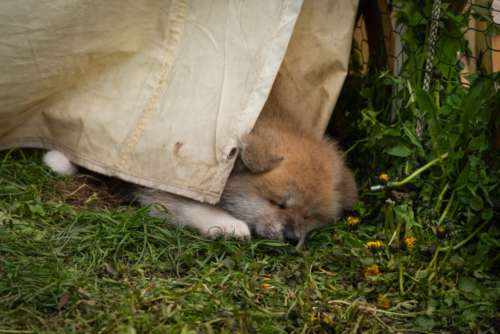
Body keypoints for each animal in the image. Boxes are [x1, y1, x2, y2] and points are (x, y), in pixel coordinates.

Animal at [43, 98, 356, 248]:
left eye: (310, 217)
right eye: (279, 203)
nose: (293, 239)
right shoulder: (167, 183)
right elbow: (192, 206)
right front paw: (229, 225)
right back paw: (60, 159)